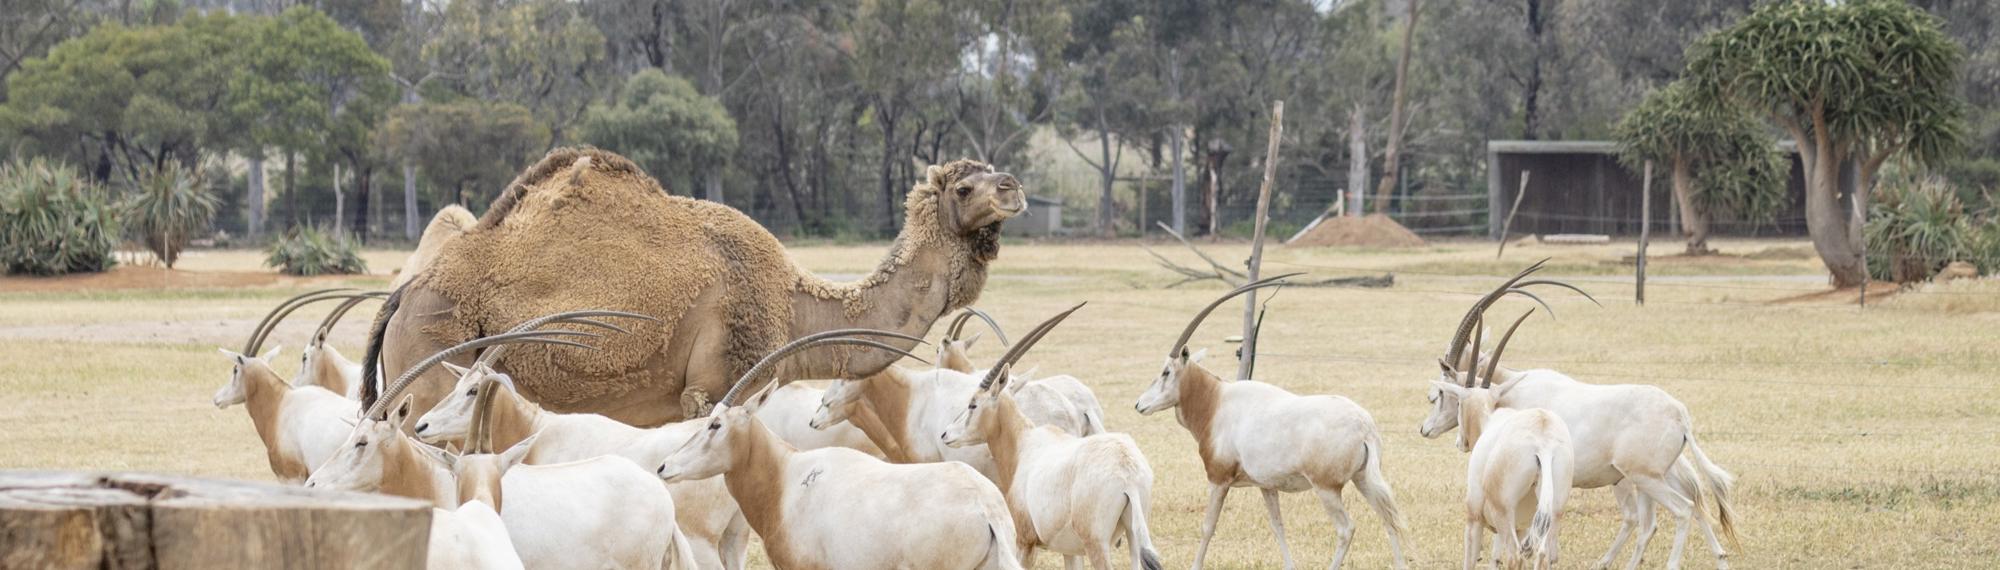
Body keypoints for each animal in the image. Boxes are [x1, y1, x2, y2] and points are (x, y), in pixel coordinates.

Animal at [363, 148, 1025, 426]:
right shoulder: (716, 383)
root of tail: (401, 297)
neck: (792, 305)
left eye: (993, 170)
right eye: (964, 187)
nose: (1014, 187)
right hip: (428, 371)